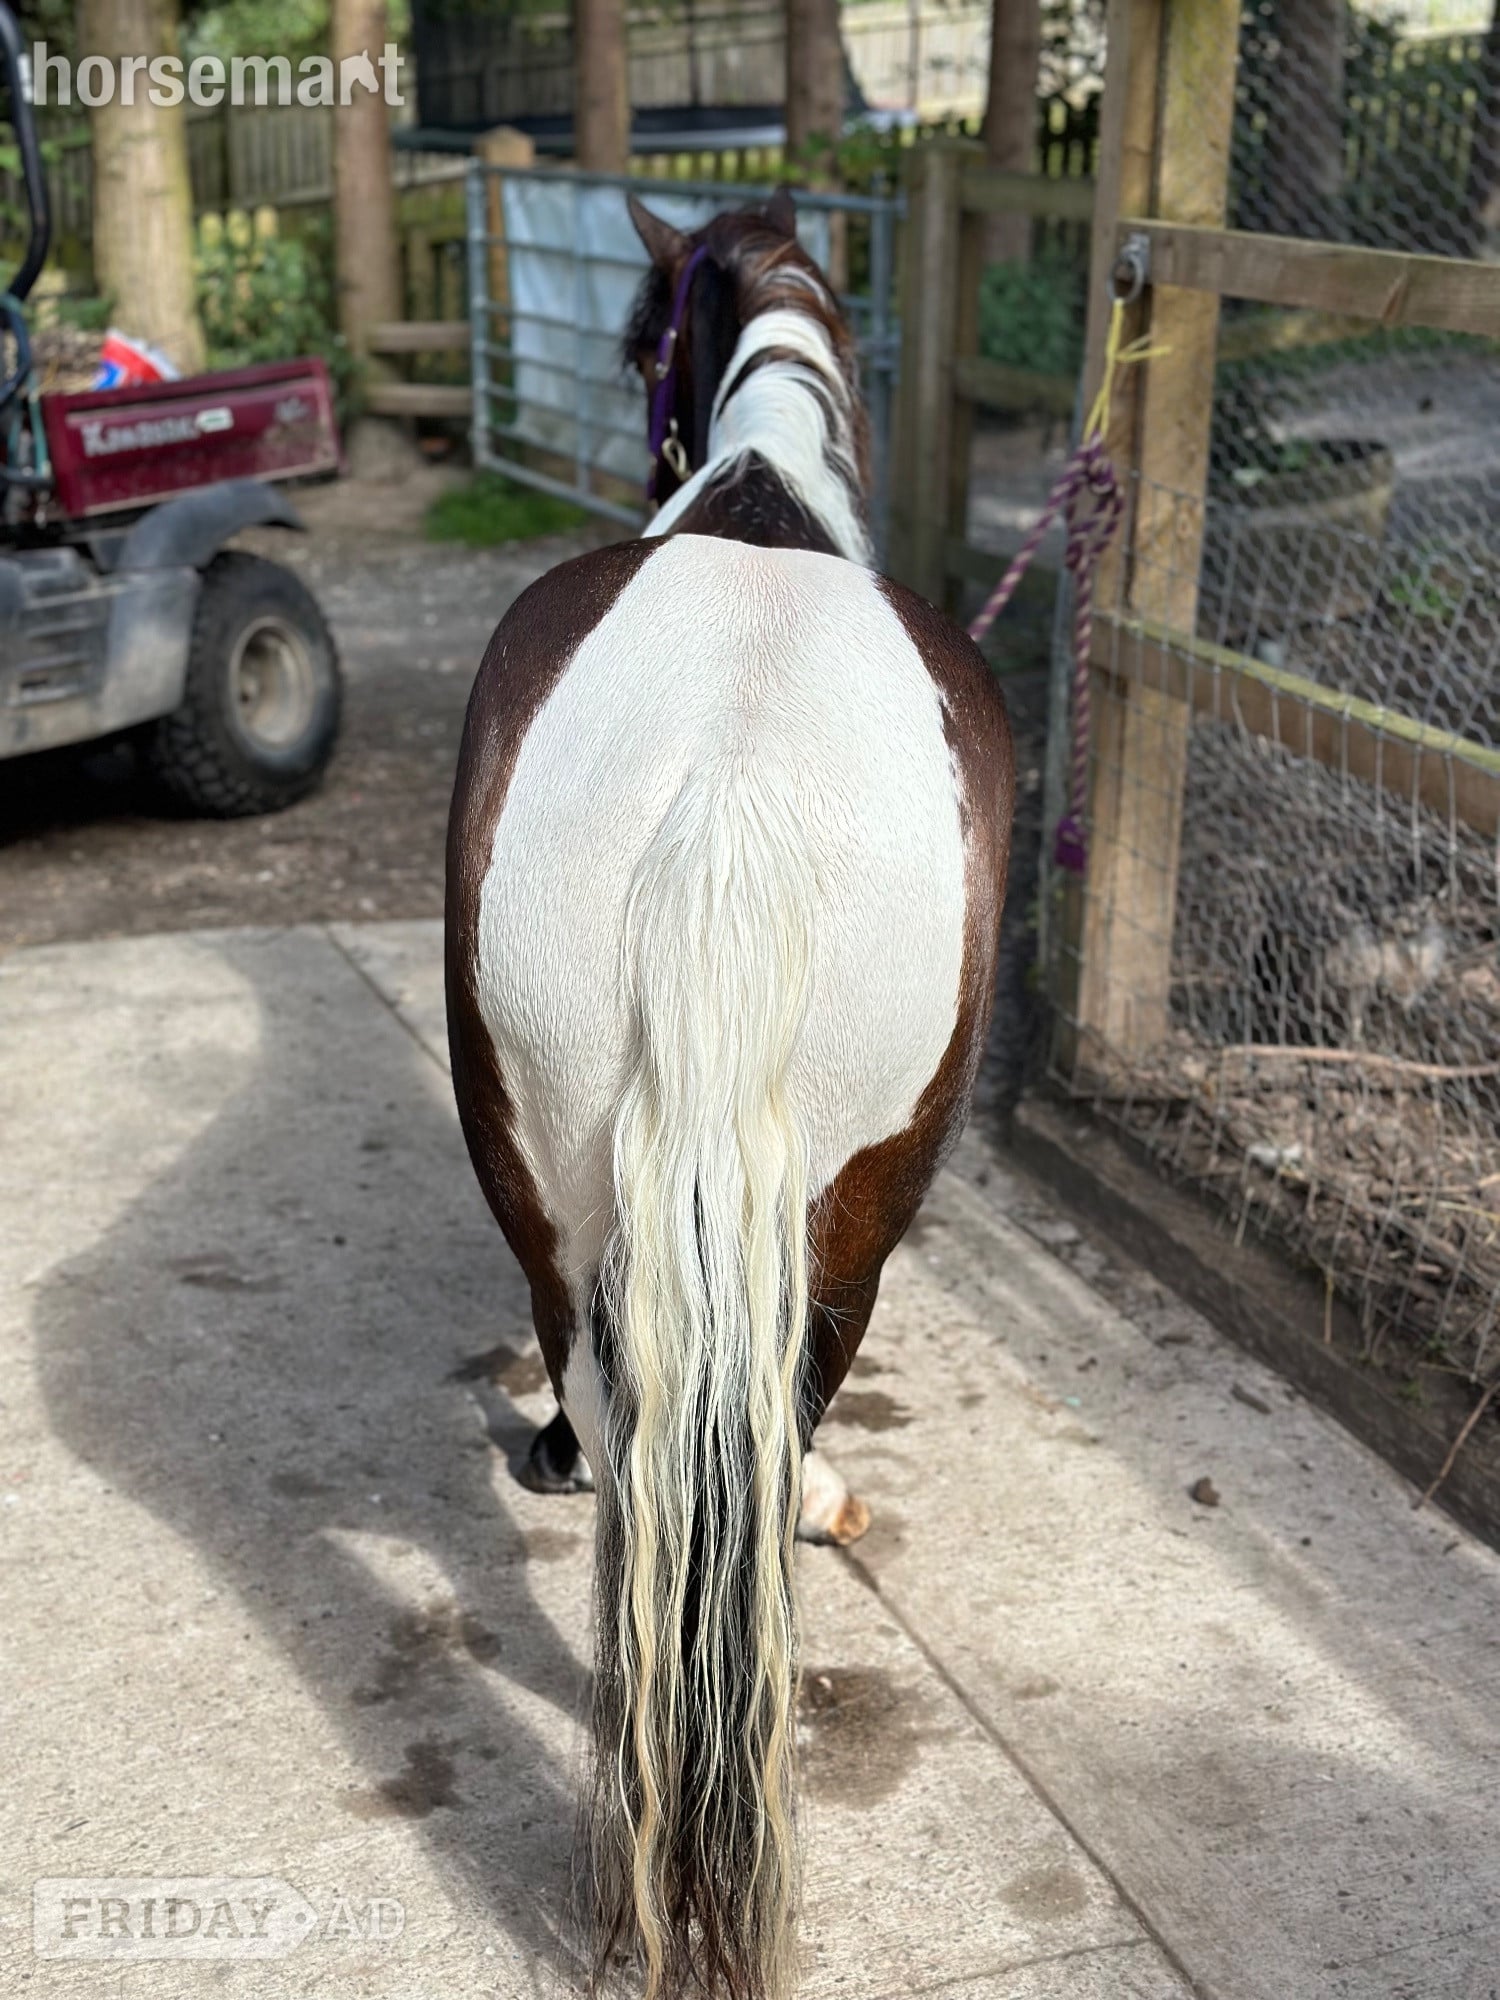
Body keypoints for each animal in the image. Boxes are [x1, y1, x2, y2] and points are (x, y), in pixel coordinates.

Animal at [445, 188, 1014, 2000]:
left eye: (637, 340)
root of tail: (732, 786)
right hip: (852, 1206)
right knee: (723, 1430)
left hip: (560, 1172)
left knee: (637, 1426)